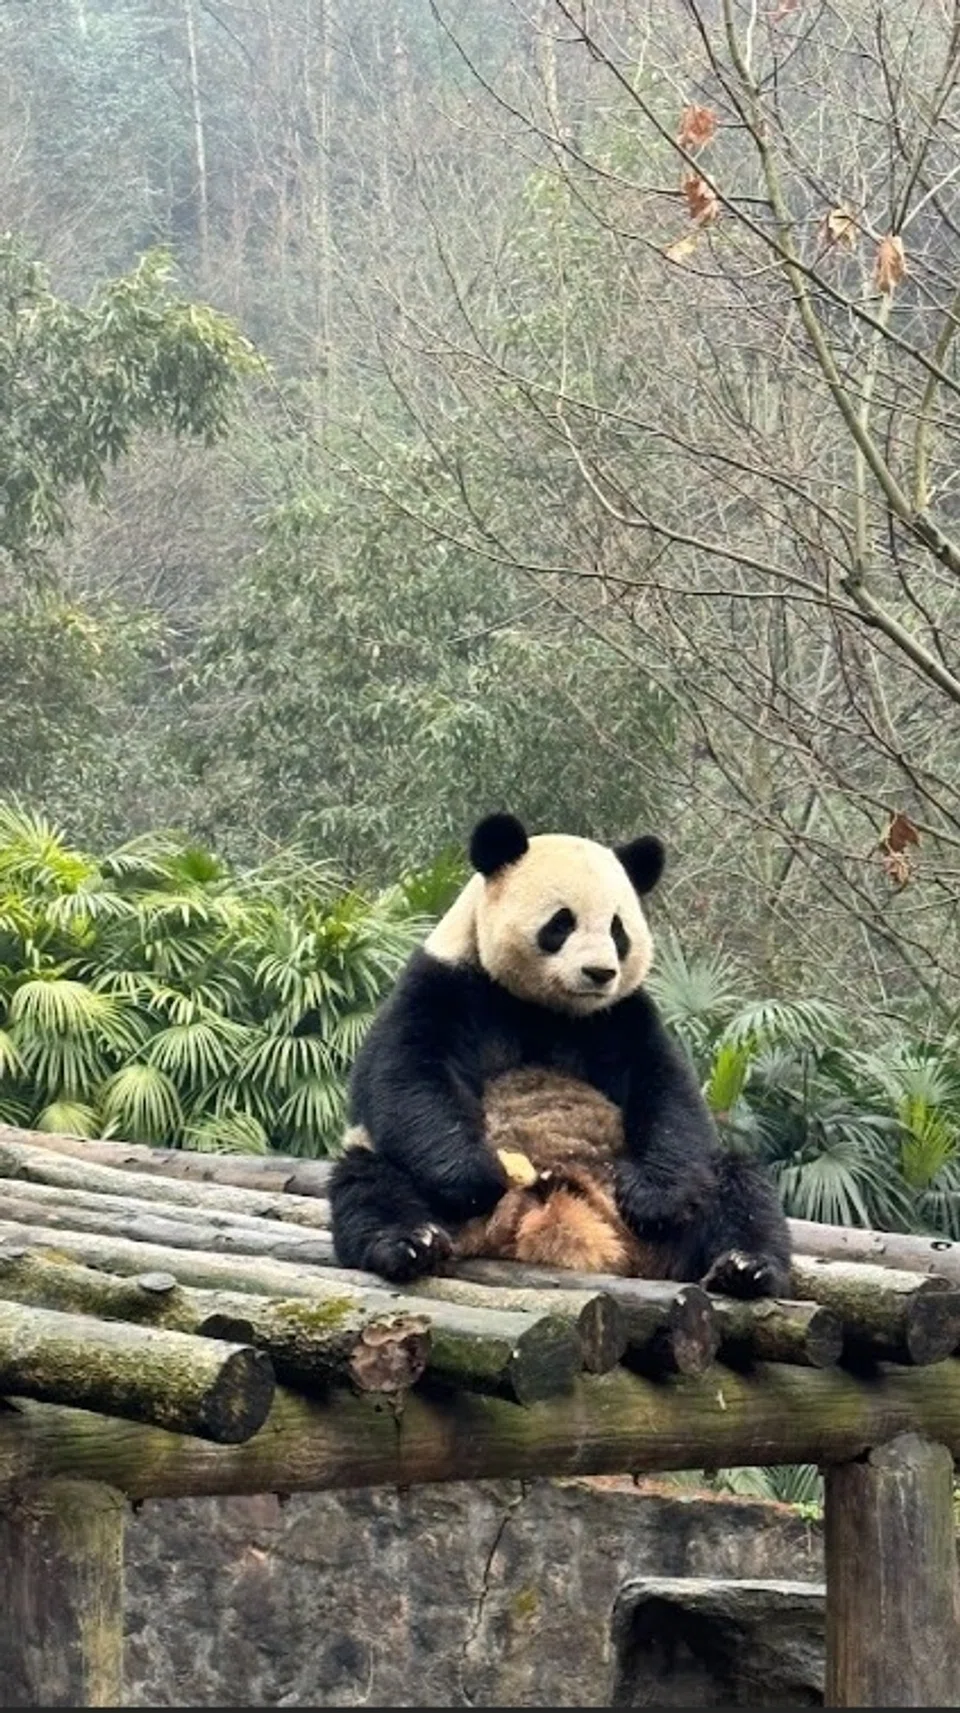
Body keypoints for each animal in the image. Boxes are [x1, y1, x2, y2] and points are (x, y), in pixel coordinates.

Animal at [329, 813, 790, 1298]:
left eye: (618, 930)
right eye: (562, 923)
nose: (600, 972)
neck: (548, 1007)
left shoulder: (621, 1015)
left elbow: (667, 1091)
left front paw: (652, 1198)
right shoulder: (446, 984)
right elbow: (406, 1076)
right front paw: (478, 1175)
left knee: (737, 1185)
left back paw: (745, 1266)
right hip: (403, 1179)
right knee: (370, 1182)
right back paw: (411, 1243)